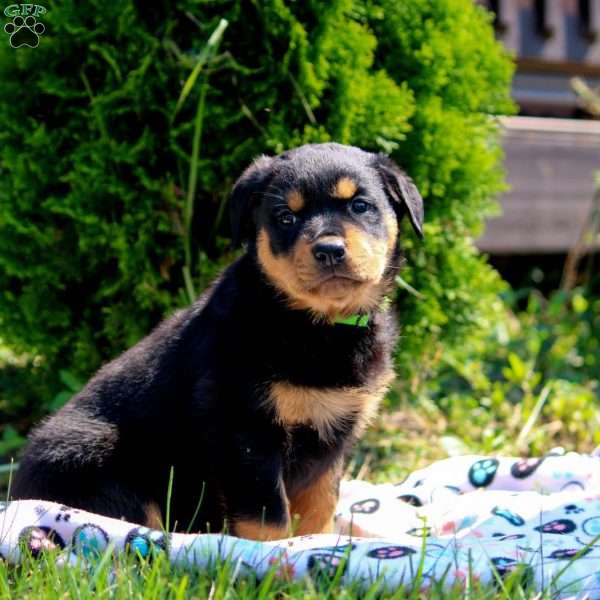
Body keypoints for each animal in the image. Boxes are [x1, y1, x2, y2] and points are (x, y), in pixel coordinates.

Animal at [12, 144, 422, 540]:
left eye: (360, 205)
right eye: (285, 218)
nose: (330, 250)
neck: (317, 324)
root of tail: (15, 497)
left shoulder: (331, 438)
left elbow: (320, 506)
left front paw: (317, 543)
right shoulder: (246, 431)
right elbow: (268, 518)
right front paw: (277, 555)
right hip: (101, 462)